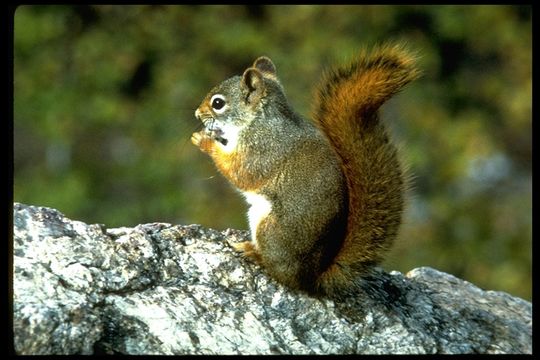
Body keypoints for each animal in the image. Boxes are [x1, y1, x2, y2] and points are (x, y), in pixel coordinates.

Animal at [192, 44, 420, 298]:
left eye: (218, 103)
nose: (196, 113)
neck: (259, 121)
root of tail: (311, 278)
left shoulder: (261, 150)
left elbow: (241, 172)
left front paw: (205, 141)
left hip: (270, 229)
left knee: (279, 272)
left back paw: (254, 254)